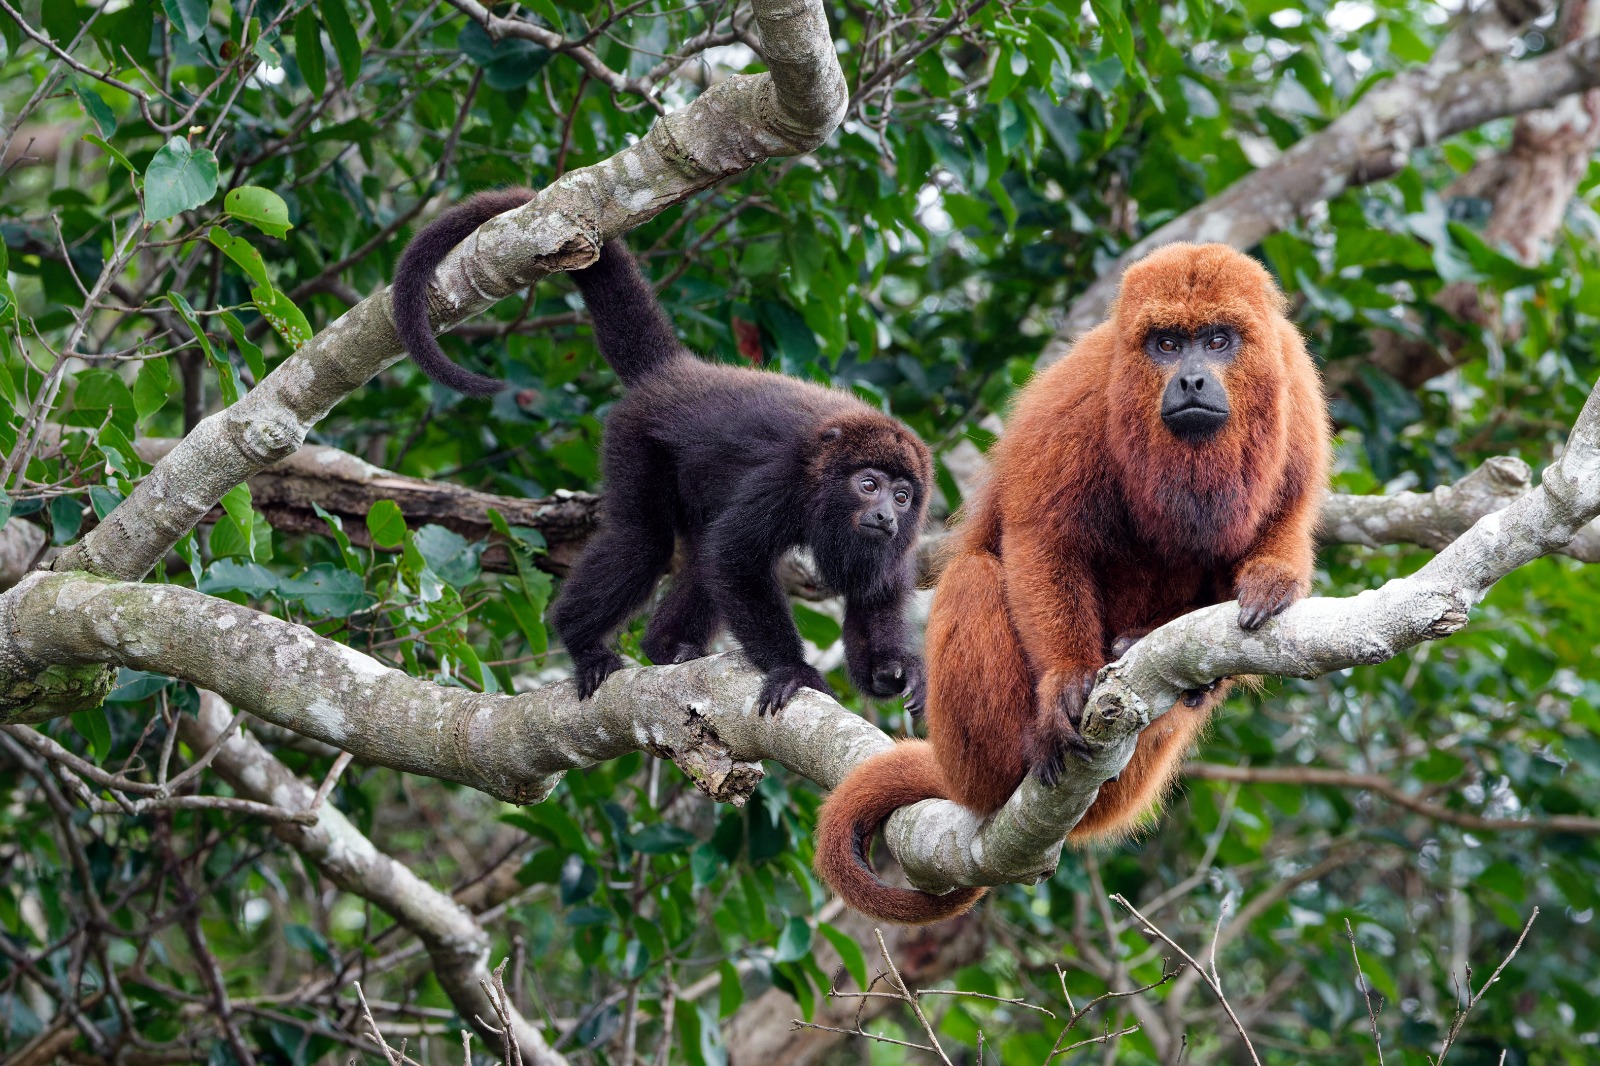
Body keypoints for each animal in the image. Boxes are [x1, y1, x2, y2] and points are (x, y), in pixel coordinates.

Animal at [390, 189, 934, 710]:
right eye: (869, 484)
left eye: (902, 496)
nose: (885, 516)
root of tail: (675, 370)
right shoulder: (784, 480)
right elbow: (735, 559)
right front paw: (792, 670)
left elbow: (874, 594)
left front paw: (893, 671)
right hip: (635, 439)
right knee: (645, 541)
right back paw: (583, 642)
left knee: (696, 556)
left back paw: (667, 648)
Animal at [812, 240, 1324, 921]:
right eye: (1165, 344)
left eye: (1218, 341)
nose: (1190, 378)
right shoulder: (1079, 391)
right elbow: (1043, 539)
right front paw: (1066, 682)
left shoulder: (1296, 386)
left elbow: (1287, 515)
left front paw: (1270, 581)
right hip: (978, 762)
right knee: (976, 574)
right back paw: (1028, 754)